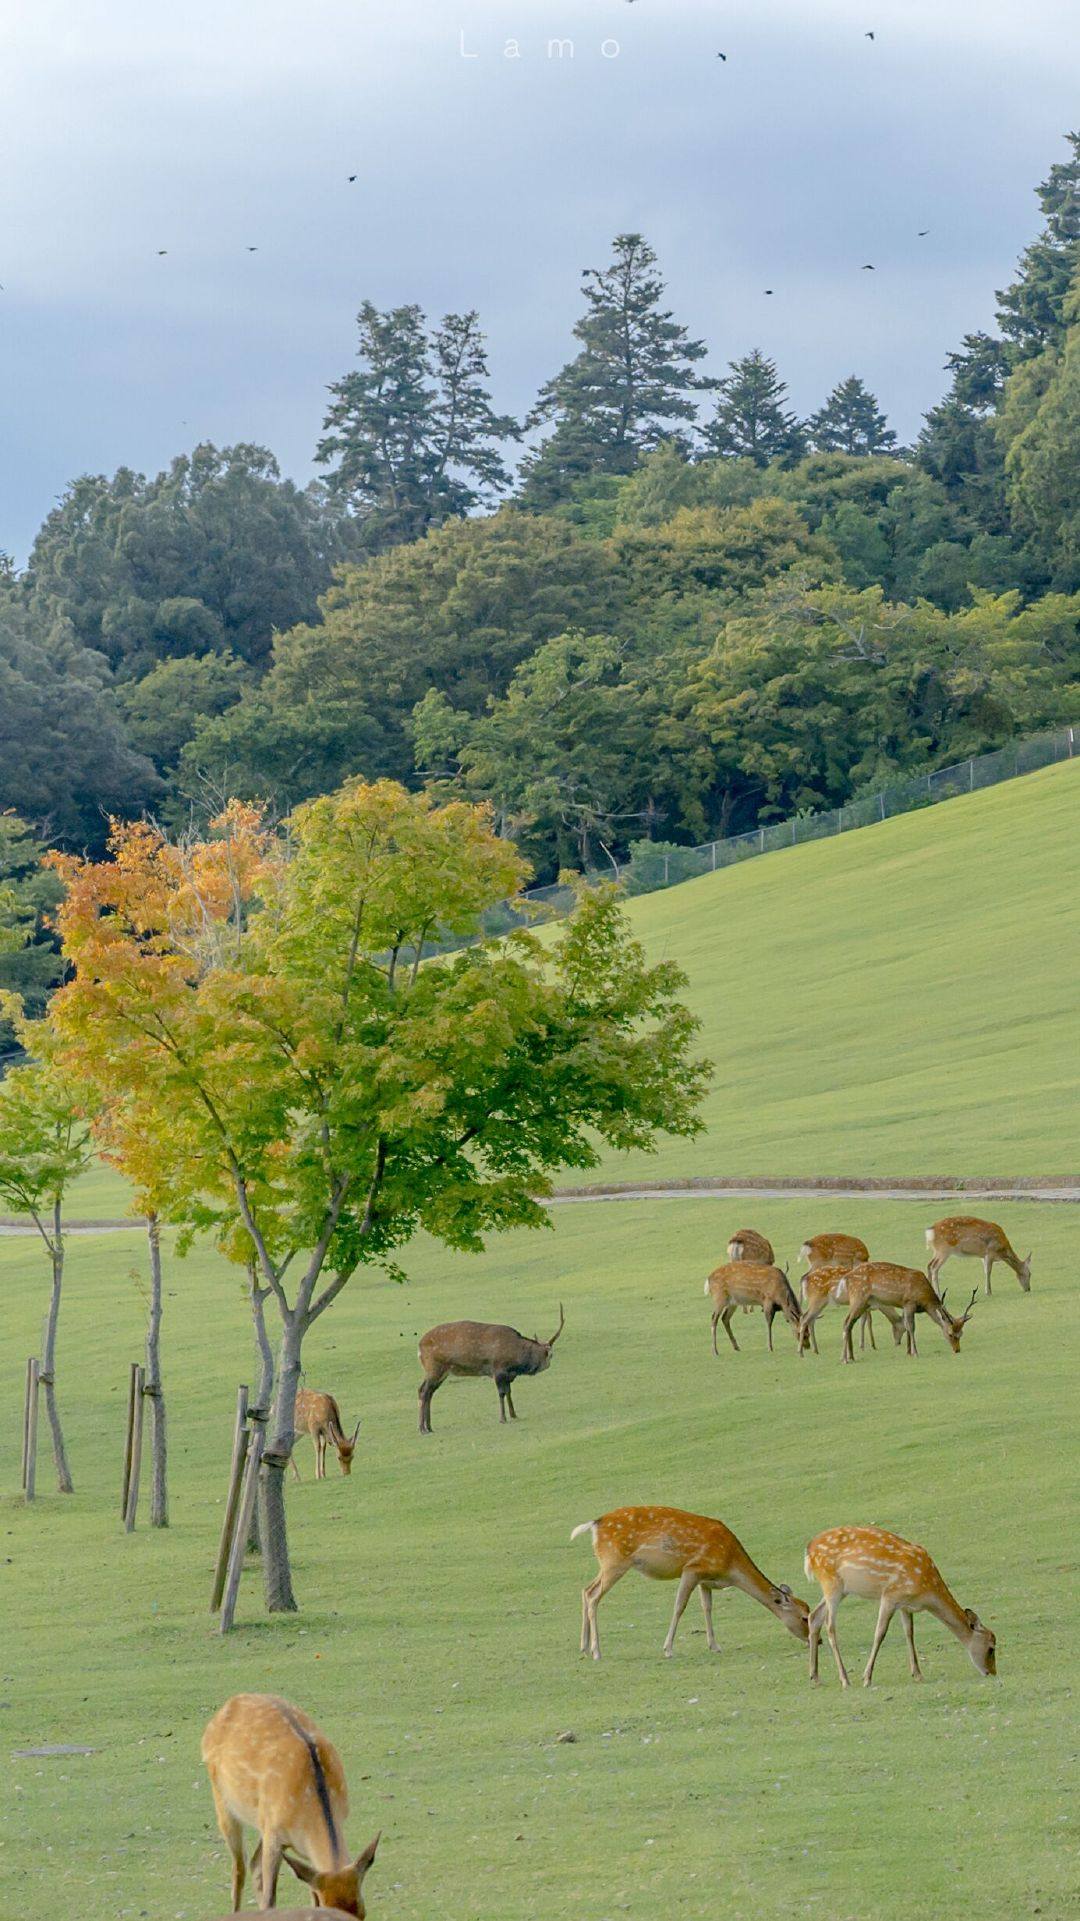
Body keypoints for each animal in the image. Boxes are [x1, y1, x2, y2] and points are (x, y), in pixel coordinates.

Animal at [200, 1690, 378, 1913]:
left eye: (362, 1910)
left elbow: (311, 1895)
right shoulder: (274, 1835)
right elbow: (270, 1897)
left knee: (253, 1865)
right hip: (222, 1799)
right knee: (239, 1870)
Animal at [413, 1306, 564, 1444]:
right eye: (549, 1354)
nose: (547, 1365)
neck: (516, 1362)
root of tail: (419, 1347)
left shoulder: (508, 1375)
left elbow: (509, 1392)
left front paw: (514, 1415)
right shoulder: (498, 1369)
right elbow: (501, 1393)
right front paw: (503, 1419)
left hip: (442, 1371)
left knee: (429, 1392)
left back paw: (430, 1427)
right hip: (433, 1367)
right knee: (423, 1390)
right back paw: (422, 1429)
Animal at [572, 1506, 807, 1659]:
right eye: (805, 1617)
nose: (813, 1640)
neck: (730, 1567)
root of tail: (594, 1524)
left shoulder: (706, 1580)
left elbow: (707, 1607)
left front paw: (715, 1645)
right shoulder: (692, 1569)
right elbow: (679, 1606)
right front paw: (668, 1649)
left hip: (607, 1564)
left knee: (586, 1589)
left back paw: (584, 1647)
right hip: (615, 1561)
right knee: (593, 1596)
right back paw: (596, 1651)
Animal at [803, 1521, 999, 1690]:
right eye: (991, 1648)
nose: (992, 1672)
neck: (926, 1590)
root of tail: (809, 1551)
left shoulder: (905, 1604)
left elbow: (909, 1632)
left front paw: (918, 1674)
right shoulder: (890, 1595)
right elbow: (880, 1633)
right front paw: (867, 1678)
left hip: (840, 1589)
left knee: (814, 1617)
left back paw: (815, 1676)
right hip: (831, 1583)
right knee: (830, 1626)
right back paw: (844, 1679)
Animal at [834, 1260, 976, 1367]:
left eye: (961, 1333)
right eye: (950, 1334)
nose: (957, 1350)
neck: (924, 1300)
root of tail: (845, 1278)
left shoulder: (905, 1305)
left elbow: (907, 1326)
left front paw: (908, 1352)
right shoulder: (909, 1302)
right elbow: (911, 1327)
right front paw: (915, 1352)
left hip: (864, 1303)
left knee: (849, 1323)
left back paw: (850, 1357)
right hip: (858, 1298)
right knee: (846, 1322)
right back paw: (844, 1359)